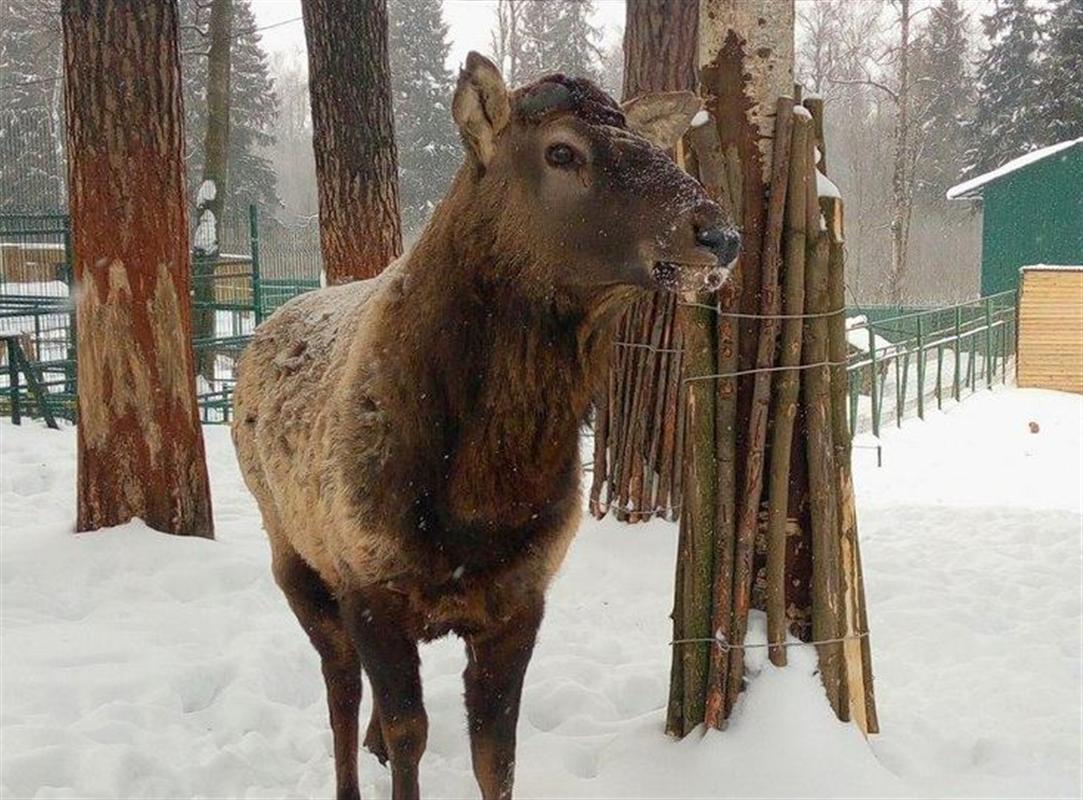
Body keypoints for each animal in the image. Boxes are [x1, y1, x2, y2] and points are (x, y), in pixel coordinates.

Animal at [231, 51, 740, 800]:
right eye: (561, 151)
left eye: (651, 146)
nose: (719, 234)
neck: (480, 499)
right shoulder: (368, 579)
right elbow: (411, 733)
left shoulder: (522, 594)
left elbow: (496, 751)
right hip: (290, 550)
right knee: (339, 680)